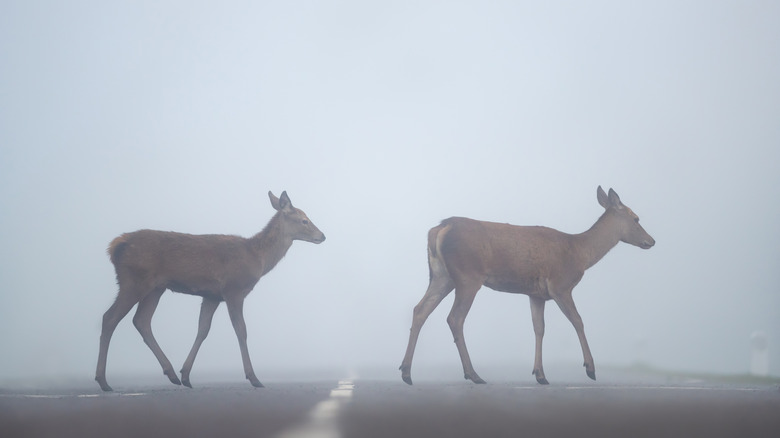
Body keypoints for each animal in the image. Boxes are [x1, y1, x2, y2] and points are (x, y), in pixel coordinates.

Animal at [95, 191, 325, 392]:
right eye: (304, 220)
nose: (322, 235)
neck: (257, 259)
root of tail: (115, 246)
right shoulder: (233, 289)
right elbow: (241, 330)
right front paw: (254, 378)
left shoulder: (211, 296)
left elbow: (203, 330)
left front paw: (186, 375)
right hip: (133, 280)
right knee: (110, 317)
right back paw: (103, 381)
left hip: (155, 287)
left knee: (141, 321)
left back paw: (171, 373)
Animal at [400, 186, 655, 385]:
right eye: (636, 218)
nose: (651, 241)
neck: (580, 253)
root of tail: (439, 228)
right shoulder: (561, 285)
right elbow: (578, 321)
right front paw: (590, 368)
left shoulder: (537, 294)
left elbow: (538, 328)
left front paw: (540, 374)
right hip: (467, 276)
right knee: (455, 318)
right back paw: (473, 374)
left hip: (442, 277)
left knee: (420, 310)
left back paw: (406, 372)